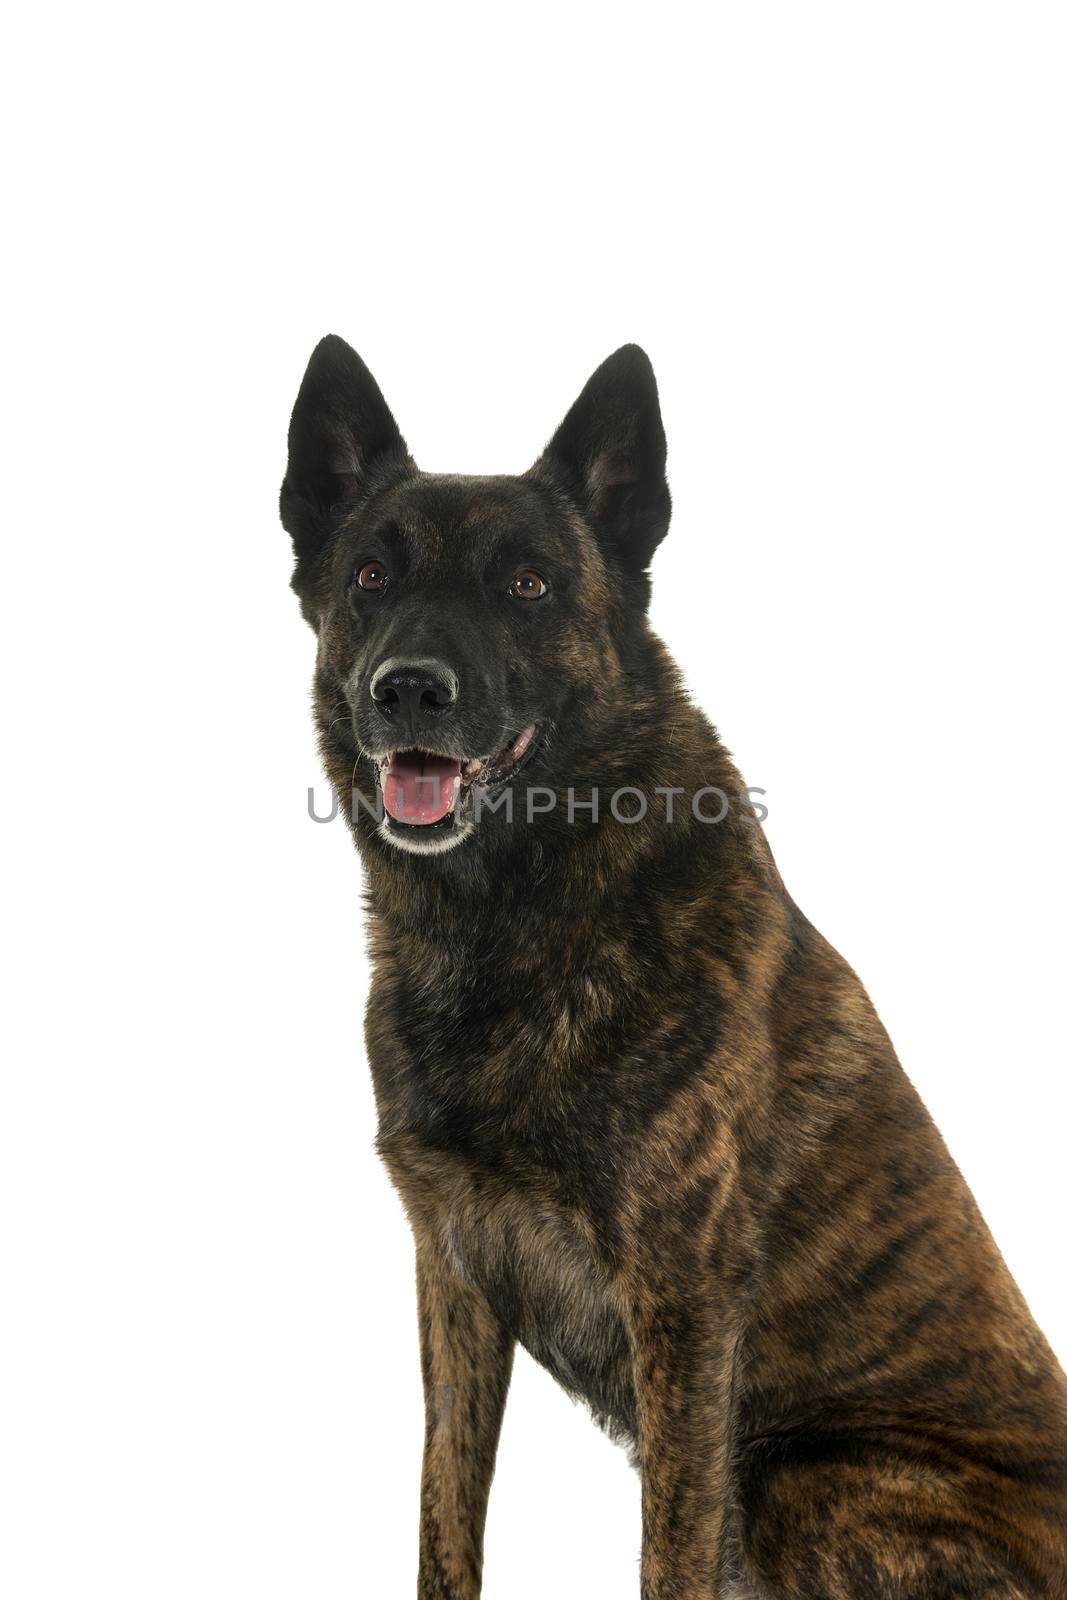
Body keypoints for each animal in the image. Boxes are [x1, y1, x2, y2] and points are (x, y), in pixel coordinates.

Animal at [278, 331, 1067, 1593]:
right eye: (368, 576)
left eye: (527, 584)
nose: (409, 688)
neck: (513, 921)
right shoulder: (452, 1278)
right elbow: (445, 1518)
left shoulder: (683, 1303)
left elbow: (670, 1551)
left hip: (804, 1470)